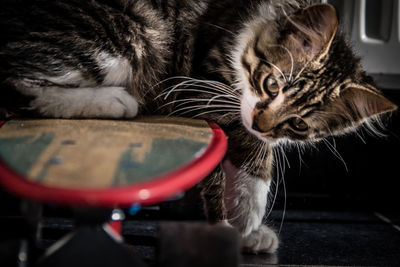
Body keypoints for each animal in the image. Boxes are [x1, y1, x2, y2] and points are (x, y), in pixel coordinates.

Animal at [0, 0, 396, 254]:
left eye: (298, 124)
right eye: (272, 84)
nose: (262, 123)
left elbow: (242, 163)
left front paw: (247, 233)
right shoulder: (199, 86)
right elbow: (241, 162)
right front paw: (234, 226)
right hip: (130, 33)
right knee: (15, 82)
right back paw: (115, 101)